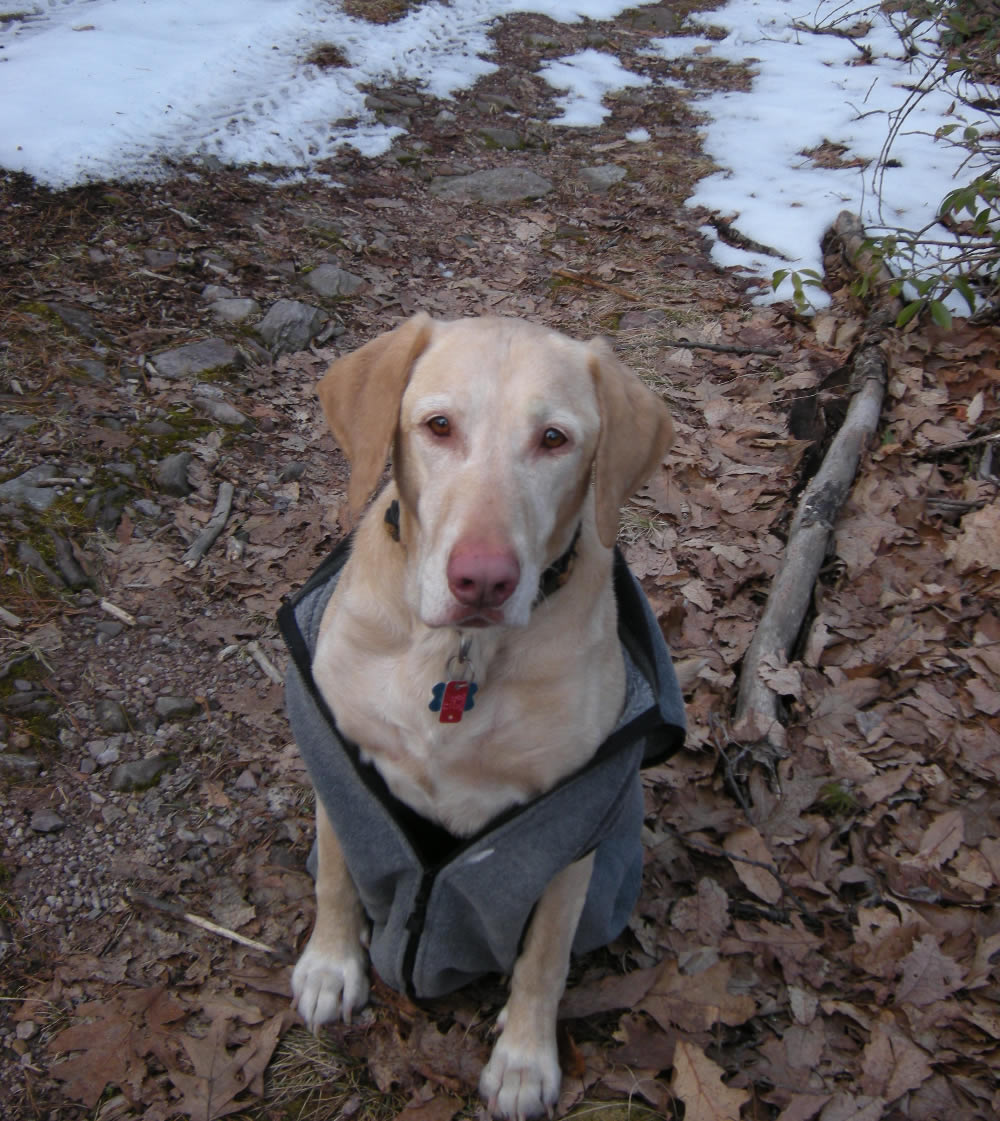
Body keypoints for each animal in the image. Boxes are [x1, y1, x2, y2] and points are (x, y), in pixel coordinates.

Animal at [283, 316, 681, 1121]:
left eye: (555, 439)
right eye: (438, 426)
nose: (484, 581)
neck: (458, 651)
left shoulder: (568, 825)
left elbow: (544, 957)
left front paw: (525, 1060)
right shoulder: (341, 757)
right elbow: (338, 871)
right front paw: (332, 963)